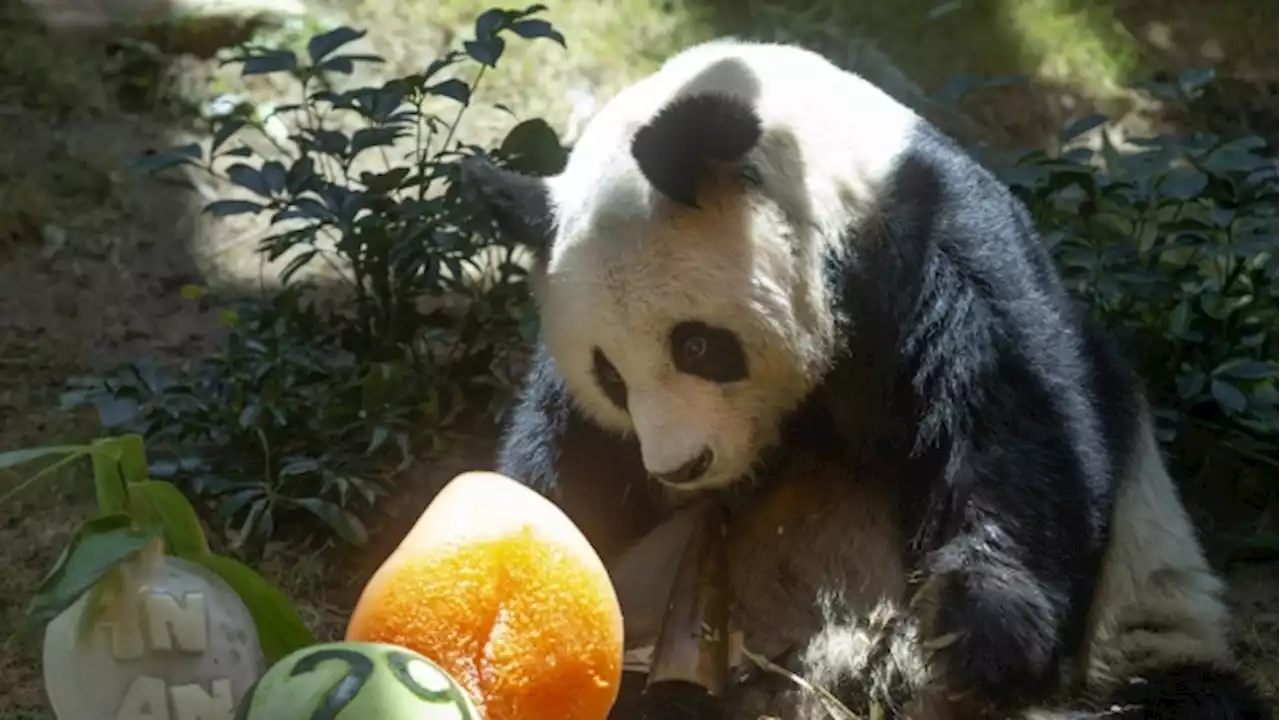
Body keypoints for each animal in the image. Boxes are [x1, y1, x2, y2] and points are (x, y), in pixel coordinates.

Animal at [460, 37, 1269, 717]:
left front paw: (976, 638)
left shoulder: (933, 253)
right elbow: (563, 467)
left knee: (1186, 697)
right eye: (611, 377)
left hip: (1145, 625)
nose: (681, 466)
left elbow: (1017, 430)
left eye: (696, 346)